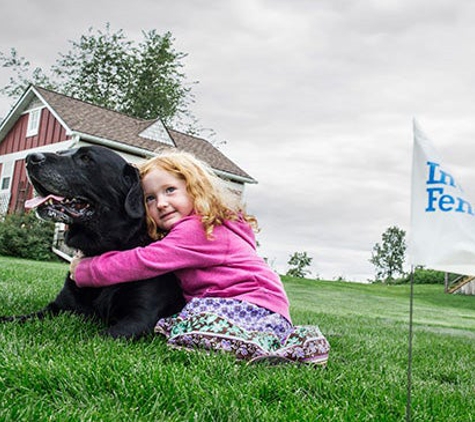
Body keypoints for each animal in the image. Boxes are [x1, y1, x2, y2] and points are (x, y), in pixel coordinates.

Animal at [0, 147, 186, 338]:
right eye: (62, 151)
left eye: (86, 158)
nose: (30, 158)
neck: (103, 250)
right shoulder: (58, 307)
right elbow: (20, 318)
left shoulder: (140, 318)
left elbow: (96, 338)